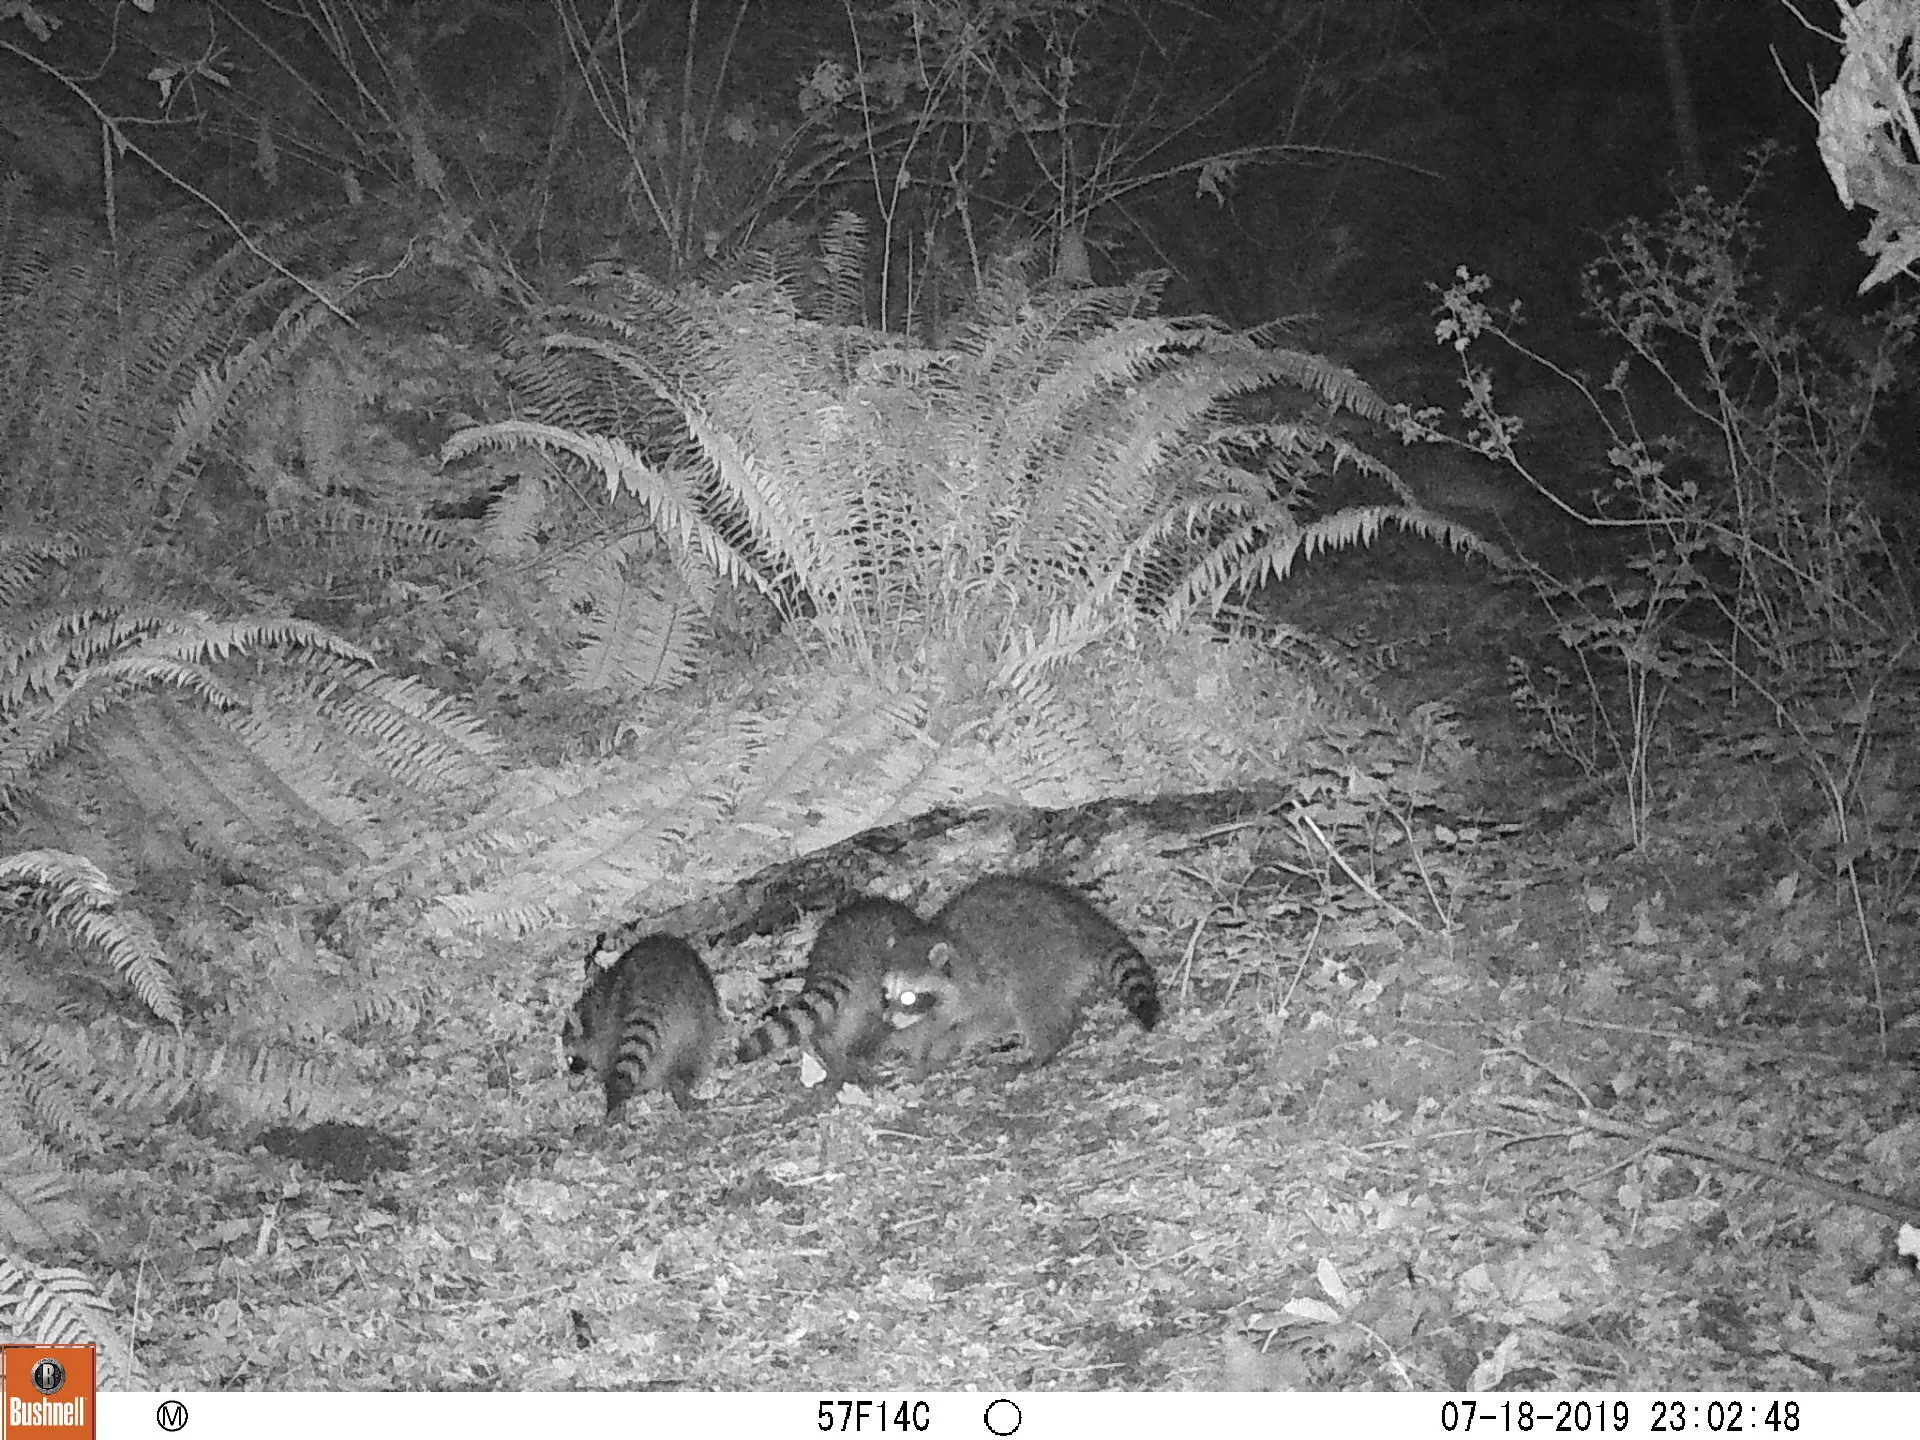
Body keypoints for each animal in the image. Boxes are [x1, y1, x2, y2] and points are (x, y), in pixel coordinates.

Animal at [881, 876, 1160, 1076]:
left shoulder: (985, 984)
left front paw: (950, 1040)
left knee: (1034, 1006)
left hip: (1043, 960)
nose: (887, 1021)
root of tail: (1086, 921)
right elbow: (932, 1025)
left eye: (908, 997)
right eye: (885, 994)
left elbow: (993, 1018)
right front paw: (923, 1051)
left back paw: (1041, 1051)